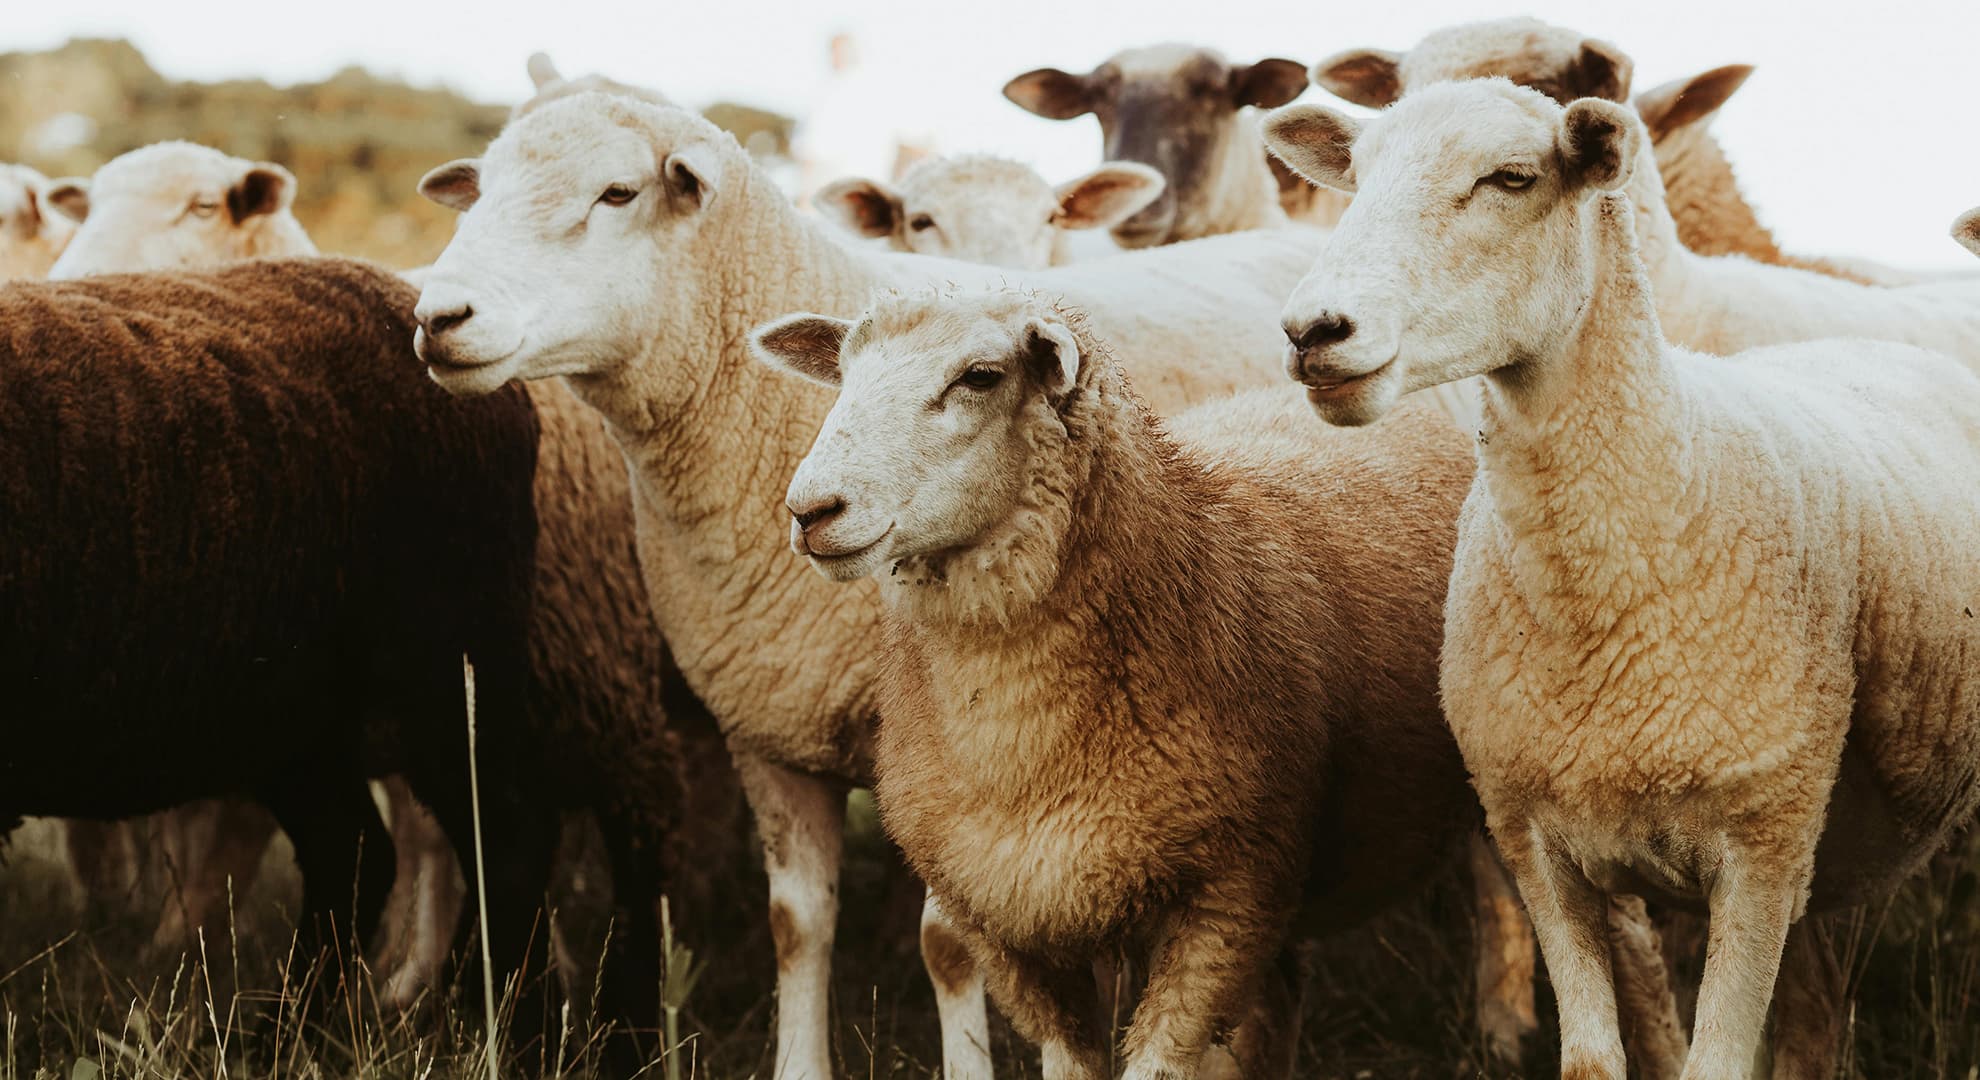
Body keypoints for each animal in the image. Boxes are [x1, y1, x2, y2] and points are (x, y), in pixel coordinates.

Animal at [0, 256, 555, 1035]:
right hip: (293, 714)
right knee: (353, 853)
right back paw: (286, 1031)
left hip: (449, 661)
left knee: (506, 841)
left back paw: (494, 1021)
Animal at [1271, 77, 1980, 1080]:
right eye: (1357, 178)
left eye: (1512, 177)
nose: (1313, 331)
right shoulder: (1537, 843)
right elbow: (1592, 1059)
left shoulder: (1760, 851)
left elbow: (1715, 1061)